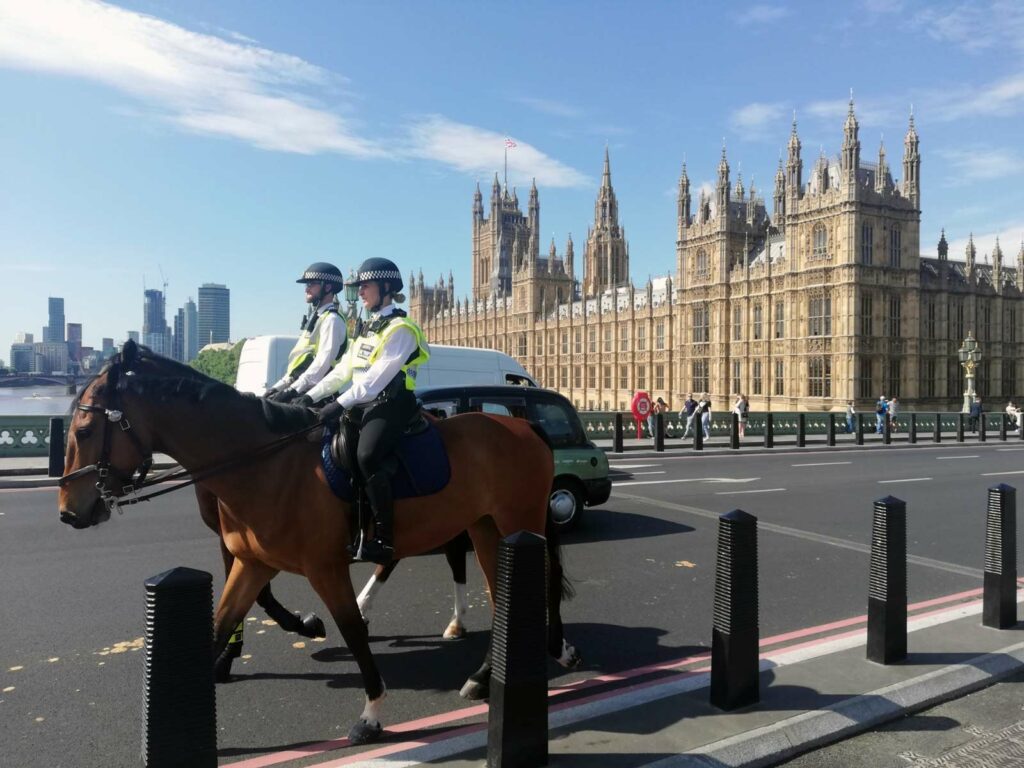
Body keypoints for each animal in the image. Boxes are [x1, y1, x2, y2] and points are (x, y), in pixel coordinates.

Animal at [56, 342, 581, 745]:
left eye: (84, 429)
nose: (68, 510)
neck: (267, 463)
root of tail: (524, 424)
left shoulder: (324, 567)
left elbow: (351, 630)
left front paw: (370, 713)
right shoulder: (251, 563)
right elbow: (219, 624)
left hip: (516, 522)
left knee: (535, 581)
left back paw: (546, 652)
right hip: (486, 528)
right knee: (498, 592)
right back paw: (484, 674)